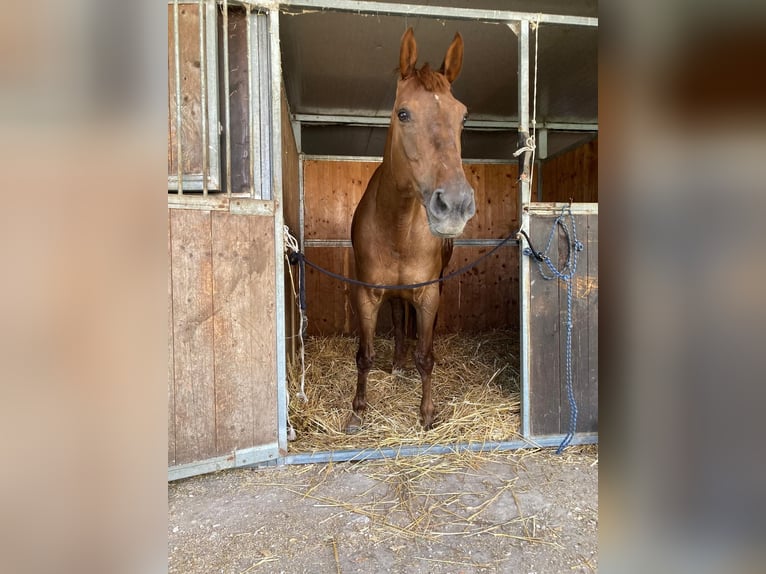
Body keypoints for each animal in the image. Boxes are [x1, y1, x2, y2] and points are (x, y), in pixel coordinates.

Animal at [346, 28, 474, 432]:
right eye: (403, 113)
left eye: (463, 117)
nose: (455, 203)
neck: (398, 225)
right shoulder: (367, 294)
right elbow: (365, 354)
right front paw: (357, 410)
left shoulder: (428, 293)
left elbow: (425, 355)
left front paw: (428, 412)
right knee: (401, 322)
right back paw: (398, 364)